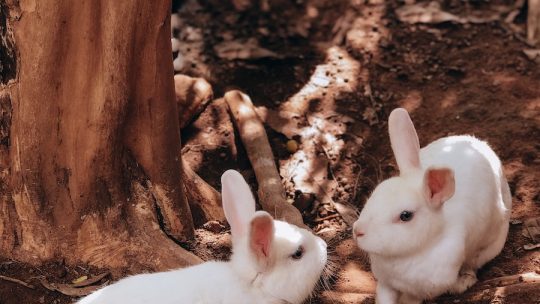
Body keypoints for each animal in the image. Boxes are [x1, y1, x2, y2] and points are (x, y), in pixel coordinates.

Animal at [352, 109, 512, 304]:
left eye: (406, 215)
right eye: (375, 193)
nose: (358, 231)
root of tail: (482, 145)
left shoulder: (420, 292)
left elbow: (409, 300)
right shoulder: (385, 283)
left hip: (488, 247)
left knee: (472, 264)